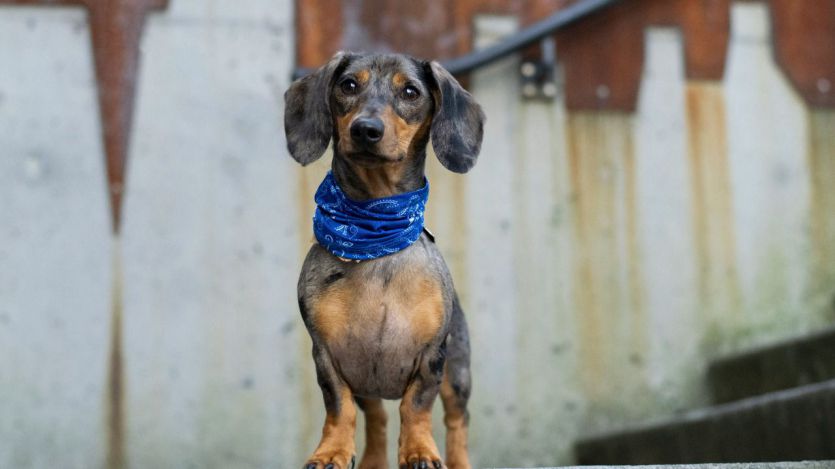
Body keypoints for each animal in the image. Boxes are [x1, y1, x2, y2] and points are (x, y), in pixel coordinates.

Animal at [286, 51, 486, 468]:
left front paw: (419, 450)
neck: (375, 230)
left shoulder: (432, 356)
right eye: (348, 85)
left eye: (410, 91)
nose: (366, 130)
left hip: (458, 372)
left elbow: (416, 407)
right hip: (367, 383)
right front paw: (331, 452)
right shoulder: (327, 356)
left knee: (457, 421)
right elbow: (339, 409)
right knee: (376, 417)